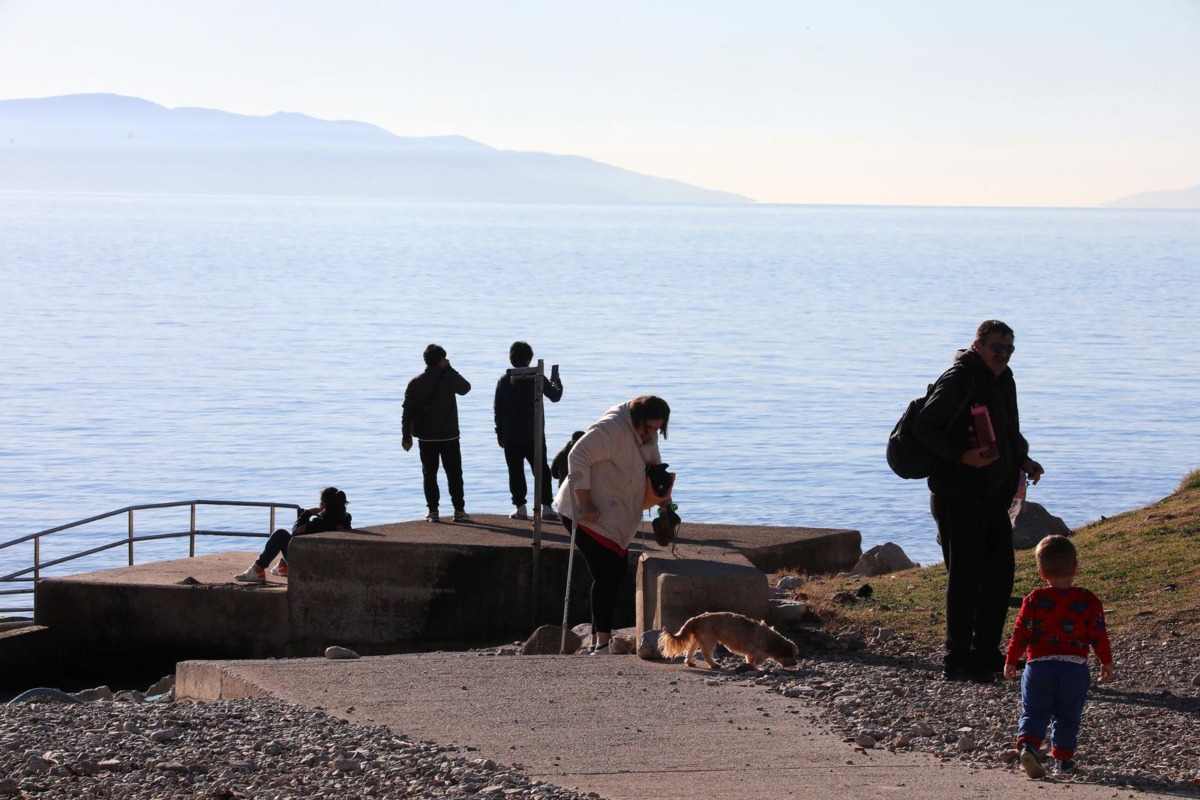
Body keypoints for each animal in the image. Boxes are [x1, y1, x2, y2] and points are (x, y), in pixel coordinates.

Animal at [657, 614, 796, 671]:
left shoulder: (752, 653)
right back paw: (714, 664)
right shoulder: (756, 653)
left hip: (697, 640)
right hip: (709, 640)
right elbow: (753, 661)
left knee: (690, 652)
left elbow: (749, 659)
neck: (772, 640)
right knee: (706, 654)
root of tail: (697, 618)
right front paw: (757, 668)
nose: (795, 663)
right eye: (791, 655)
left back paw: (690, 662)